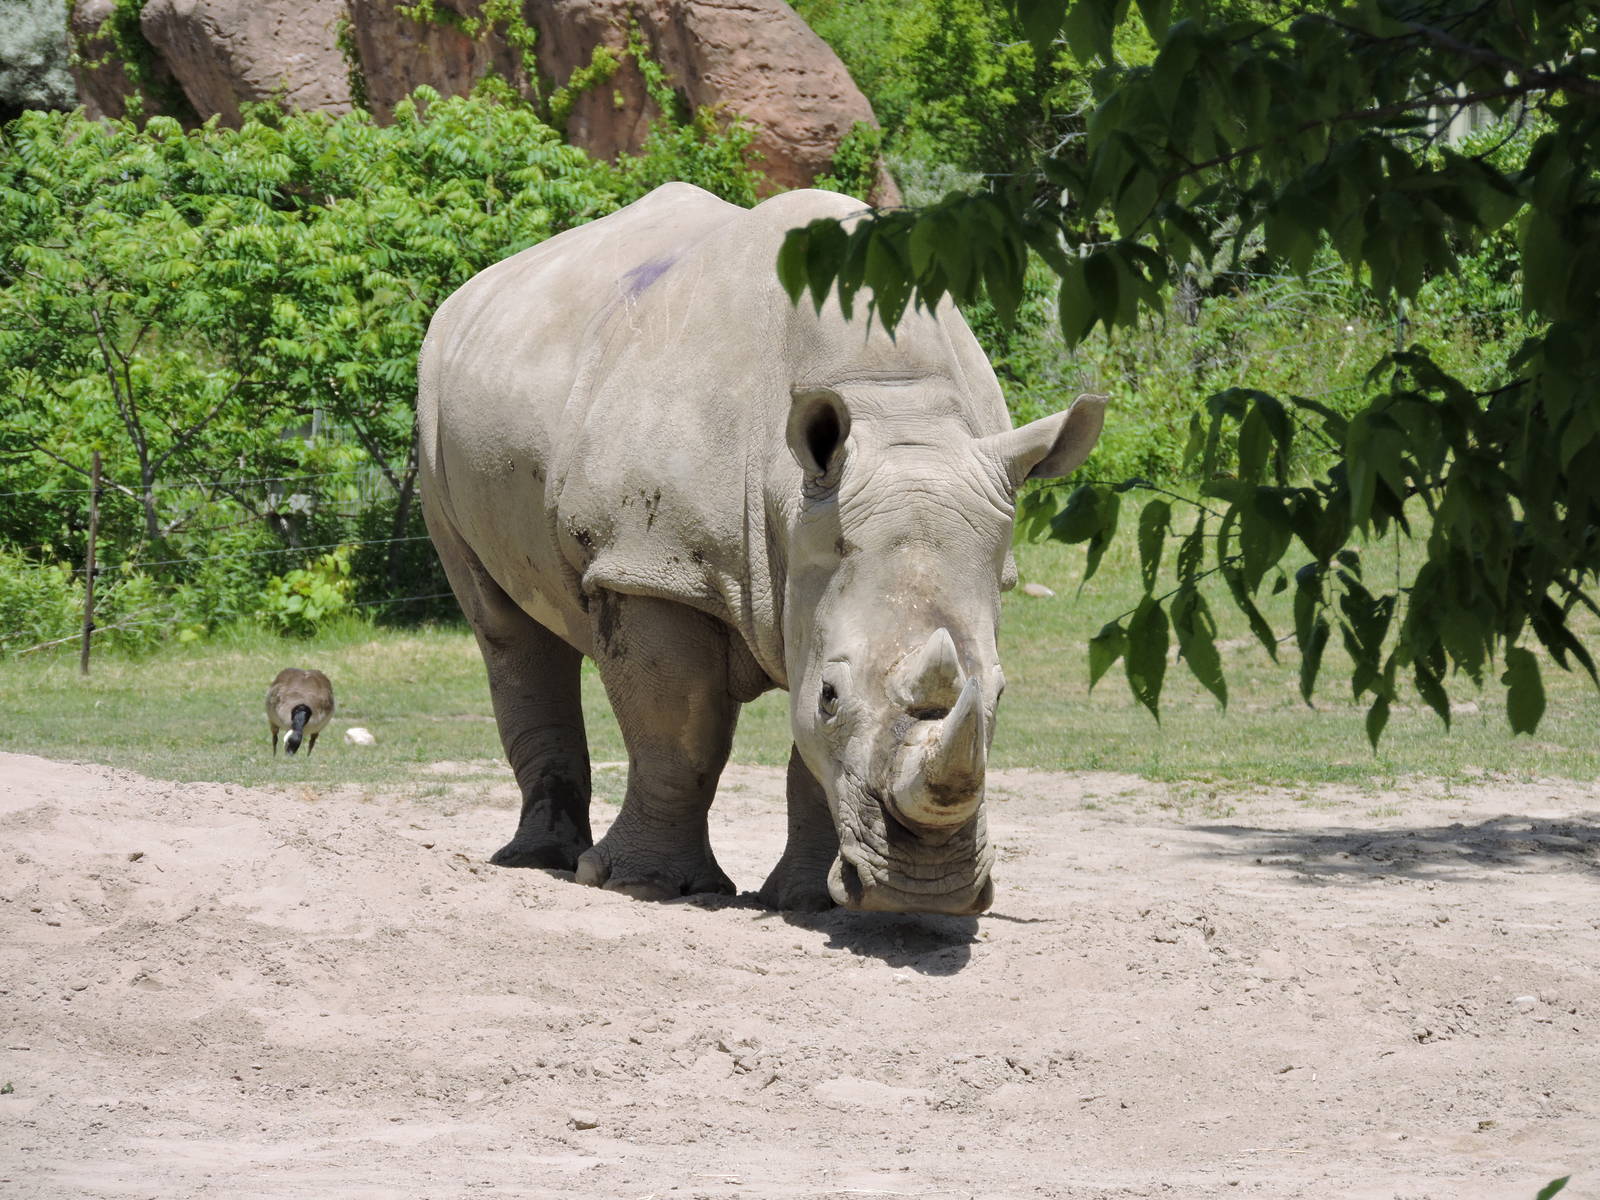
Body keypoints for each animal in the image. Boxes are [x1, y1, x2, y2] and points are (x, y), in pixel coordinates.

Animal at [417, 182, 1103, 914]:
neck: (893, 412)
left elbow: (809, 762)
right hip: (436, 400)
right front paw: (645, 886)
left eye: (1000, 692)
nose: (926, 891)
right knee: (501, 624)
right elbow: (680, 733)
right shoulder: (651, 565)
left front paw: (807, 900)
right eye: (831, 694)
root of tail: (473, 291)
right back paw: (539, 860)